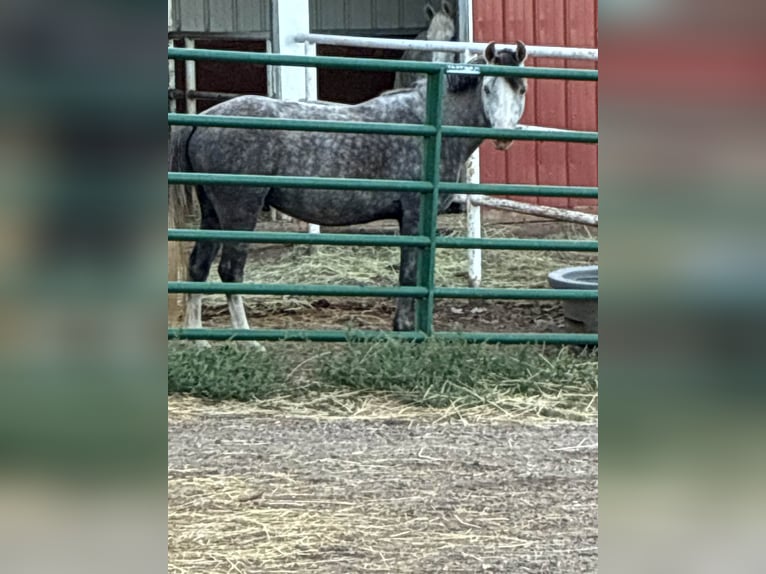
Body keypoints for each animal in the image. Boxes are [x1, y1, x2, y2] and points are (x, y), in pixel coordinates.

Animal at [168, 41, 528, 343]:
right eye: (487, 87)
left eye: (521, 88)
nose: (504, 137)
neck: (429, 125)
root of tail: (203, 119)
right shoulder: (414, 215)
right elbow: (410, 273)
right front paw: (404, 329)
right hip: (240, 211)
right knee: (230, 269)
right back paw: (249, 340)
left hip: (213, 212)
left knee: (198, 266)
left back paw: (198, 338)